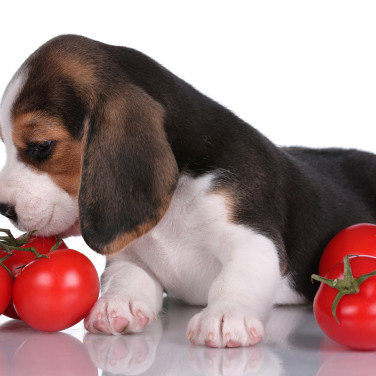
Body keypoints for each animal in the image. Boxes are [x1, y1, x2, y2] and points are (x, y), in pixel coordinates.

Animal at [0, 34, 376, 346]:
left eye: (41, 146)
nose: (4, 208)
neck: (180, 186)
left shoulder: (253, 239)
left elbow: (235, 278)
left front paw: (225, 317)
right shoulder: (129, 255)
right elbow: (127, 277)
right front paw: (115, 305)